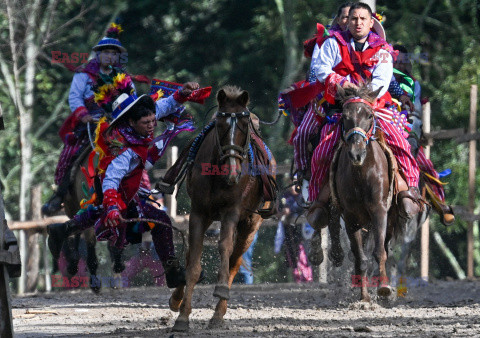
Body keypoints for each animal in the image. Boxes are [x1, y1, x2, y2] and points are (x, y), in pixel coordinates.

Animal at [169, 86, 276, 332]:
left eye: (245, 126)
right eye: (219, 124)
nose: (233, 173)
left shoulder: (231, 213)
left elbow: (225, 249)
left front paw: (220, 292)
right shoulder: (199, 213)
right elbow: (193, 262)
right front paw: (183, 315)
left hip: (251, 224)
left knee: (235, 260)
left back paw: (218, 313)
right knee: (191, 256)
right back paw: (177, 300)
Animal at [328, 84, 406, 302]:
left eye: (370, 115)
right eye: (344, 116)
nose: (356, 153)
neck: (362, 175)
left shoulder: (379, 210)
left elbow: (379, 252)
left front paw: (384, 287)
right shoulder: (351, 218)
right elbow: (360, 258)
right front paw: (363, 298)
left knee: (383, 247)